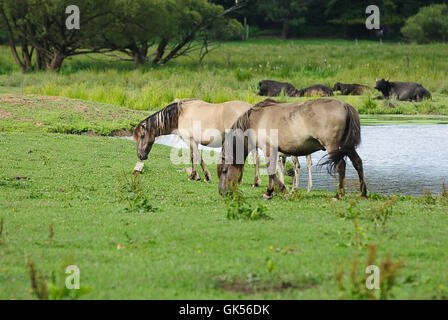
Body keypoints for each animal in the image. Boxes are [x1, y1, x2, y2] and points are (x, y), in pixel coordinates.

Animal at [131, 97, 260, 185]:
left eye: (142, 136)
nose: (140, 156)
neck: (180, 114)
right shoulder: (193, 141)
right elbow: (193, 157)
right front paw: (193, 176)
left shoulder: (190, 140)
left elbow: (198, 158)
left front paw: (206, 177)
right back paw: (251, 181)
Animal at [217, 98, 368, 200]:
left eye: (224, 171)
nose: (222, 193)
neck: (256, 120)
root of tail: (345, 105)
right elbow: (273, 171)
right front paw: (269, 192)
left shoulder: (268, 148)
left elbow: (271, 171)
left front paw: (283, 191)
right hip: (347, 146)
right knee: (357, 163)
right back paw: (363, 193)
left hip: (333, 146)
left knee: (341, 166)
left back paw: (338, 195)